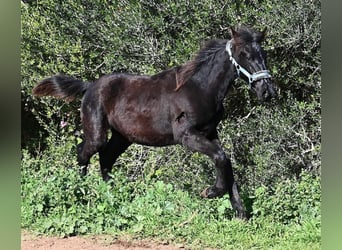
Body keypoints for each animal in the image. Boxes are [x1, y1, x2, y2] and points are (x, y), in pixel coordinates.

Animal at [33, 25, 276, 219]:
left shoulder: (210, 133)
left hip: (123, 137)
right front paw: (211, 192)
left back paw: (113, 195)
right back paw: (80, 192)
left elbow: (225, 161)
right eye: (243, 53)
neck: (199, 87)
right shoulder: (186, 135)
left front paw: (240, 213)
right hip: (97, 133)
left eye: (263, 53)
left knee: (106, 158)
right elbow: (220, 157)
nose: (268, 92)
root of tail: (90, 86)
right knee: (83, 153)